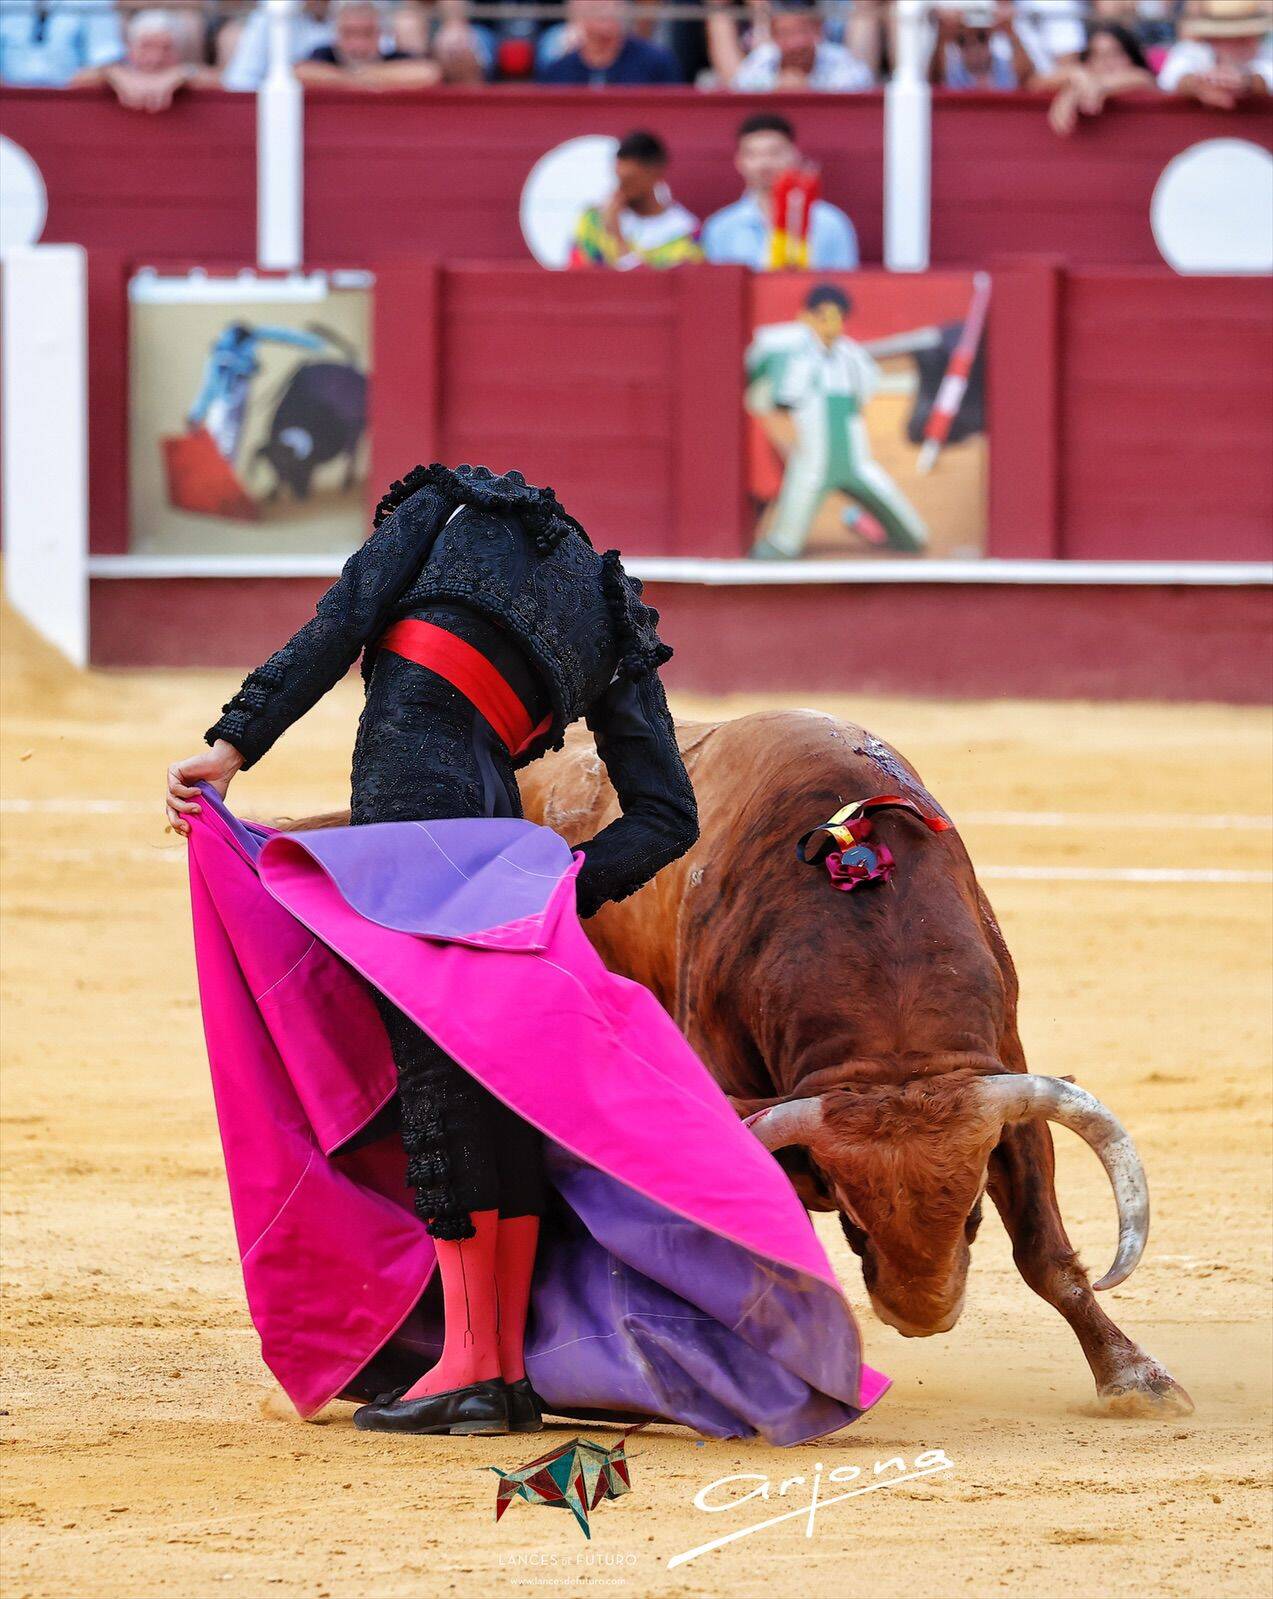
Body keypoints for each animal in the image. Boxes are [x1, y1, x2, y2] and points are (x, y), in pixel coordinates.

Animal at [519, 707, 1193, 1418]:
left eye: (974, 1212)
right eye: (851, 1218)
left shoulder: (1007, 1078)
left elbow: (1044, 1253)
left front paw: (1136, 1379)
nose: (922, 1317)